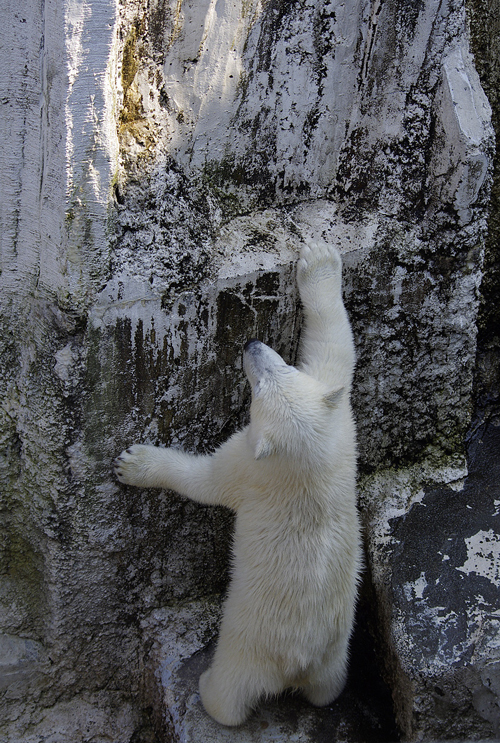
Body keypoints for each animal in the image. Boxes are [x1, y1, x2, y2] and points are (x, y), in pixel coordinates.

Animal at [115, 241, 362, 728]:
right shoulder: (340, 429)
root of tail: (297, 666)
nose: (251, 343)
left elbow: (206, 481)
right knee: (330, 685)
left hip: (249, 648)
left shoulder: (253, 471)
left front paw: (135, 463)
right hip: (336, 649)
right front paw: (321, 258)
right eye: (283, 368)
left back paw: (206, 686)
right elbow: (334, 351)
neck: (309, 466)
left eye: (260, 386)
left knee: (231, 693)